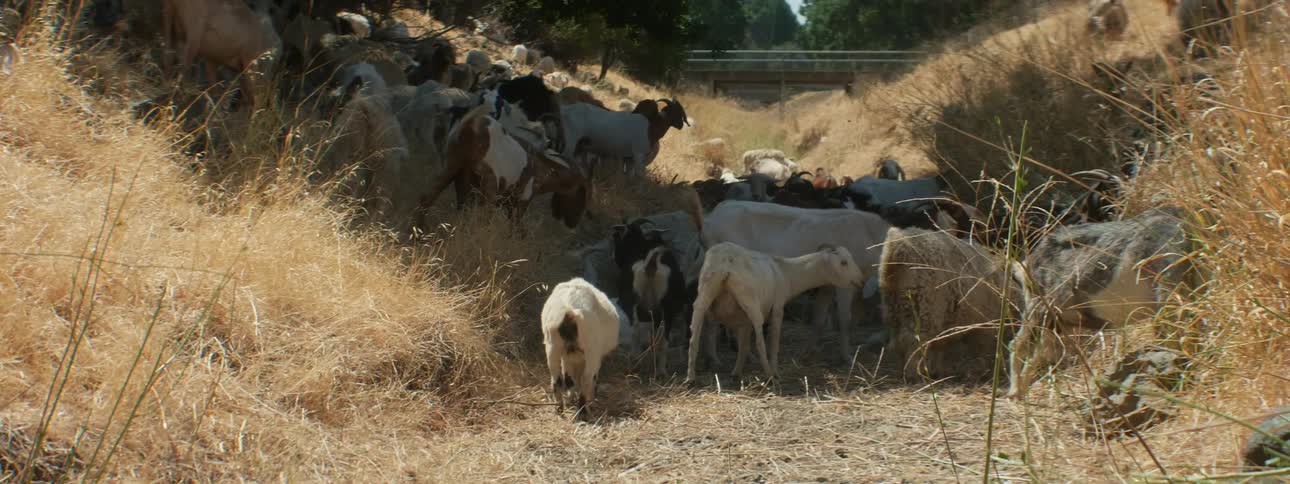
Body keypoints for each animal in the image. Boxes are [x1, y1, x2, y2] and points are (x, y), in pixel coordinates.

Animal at [542, 278, 621, 419]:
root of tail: (569, 312)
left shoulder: (568, 357)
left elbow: (569, 379)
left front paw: (570, 397)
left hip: (553, 346)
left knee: (556, 379)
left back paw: (559, 408)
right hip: (591, 350)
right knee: (586, 379)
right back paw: (583, 410)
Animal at [685, 243, 865, 382]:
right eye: (844, 262)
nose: (861, 281)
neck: (786, 272)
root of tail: (725, 263)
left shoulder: (742, 319)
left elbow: (743, 344)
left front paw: (736, 373)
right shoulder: (777, 308)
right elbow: (773, 343)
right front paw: (775, 371)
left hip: (706, 290)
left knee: (694, 337)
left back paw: (690, 377)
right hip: (750, 300)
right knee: (760, 342)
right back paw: (770, 375)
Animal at [701, 201, 891, 363]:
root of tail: (714, 215)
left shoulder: (827, 285)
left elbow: (819, 319)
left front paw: (808, 351)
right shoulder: (844, 285)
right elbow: (845, 320)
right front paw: (847, 357)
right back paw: (717, 358)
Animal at [880, 227, 1018, 380]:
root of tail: (898, 245)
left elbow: (940, 347)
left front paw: (938, 371)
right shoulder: (984, 322)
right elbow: (980, 349)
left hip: (894, 308)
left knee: (898, 341)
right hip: (923, 306)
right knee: (914, 340)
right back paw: (914, 374)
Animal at [1007, 208, 1197, 399]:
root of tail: (1026, 265)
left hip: (1057, 322)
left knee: (1038, 354)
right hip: (1040, 310)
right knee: (1017, 345)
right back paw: (1015, 393)